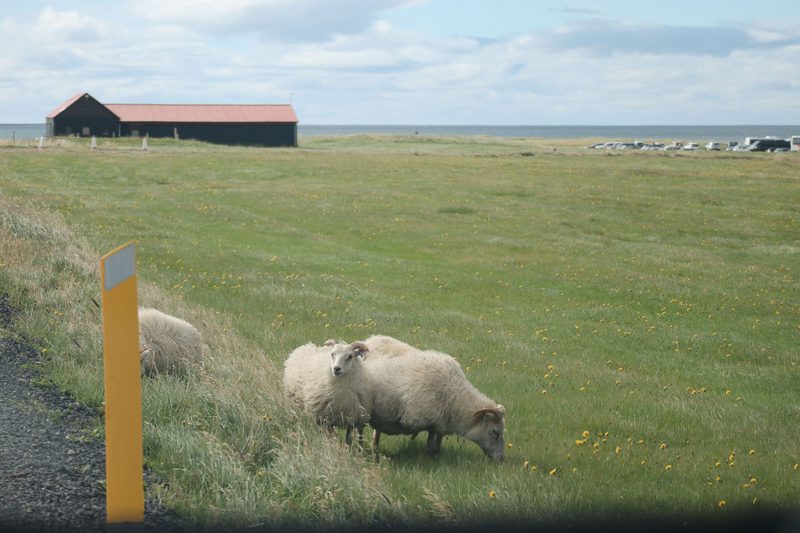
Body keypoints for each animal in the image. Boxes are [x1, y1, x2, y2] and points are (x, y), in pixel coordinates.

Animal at [363, 340, 506, 461]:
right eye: (495, 432)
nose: (501, 459)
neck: (454, 396)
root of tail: (370, 340)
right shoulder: (431, 420)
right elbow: (432, 445)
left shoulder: (439, 423)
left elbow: (436, 444)